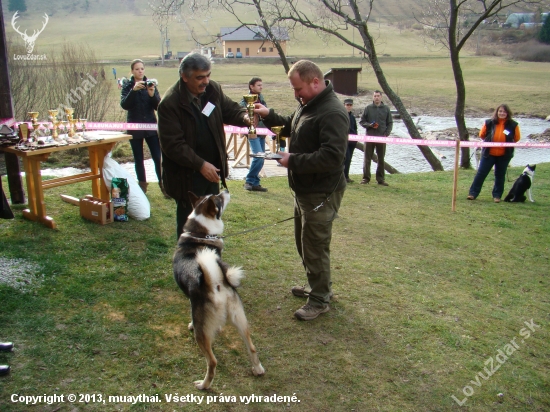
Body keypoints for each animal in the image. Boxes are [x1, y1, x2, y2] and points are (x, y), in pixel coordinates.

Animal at [174, 190, 266, 390]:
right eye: (219, 199)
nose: (226, 190)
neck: (200, 234)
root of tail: (216, 283)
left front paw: (190, 323)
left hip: (202, 336)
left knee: (212, 362)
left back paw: (203, 385)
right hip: (240, 320)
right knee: (252, 347)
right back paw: (258, 369)